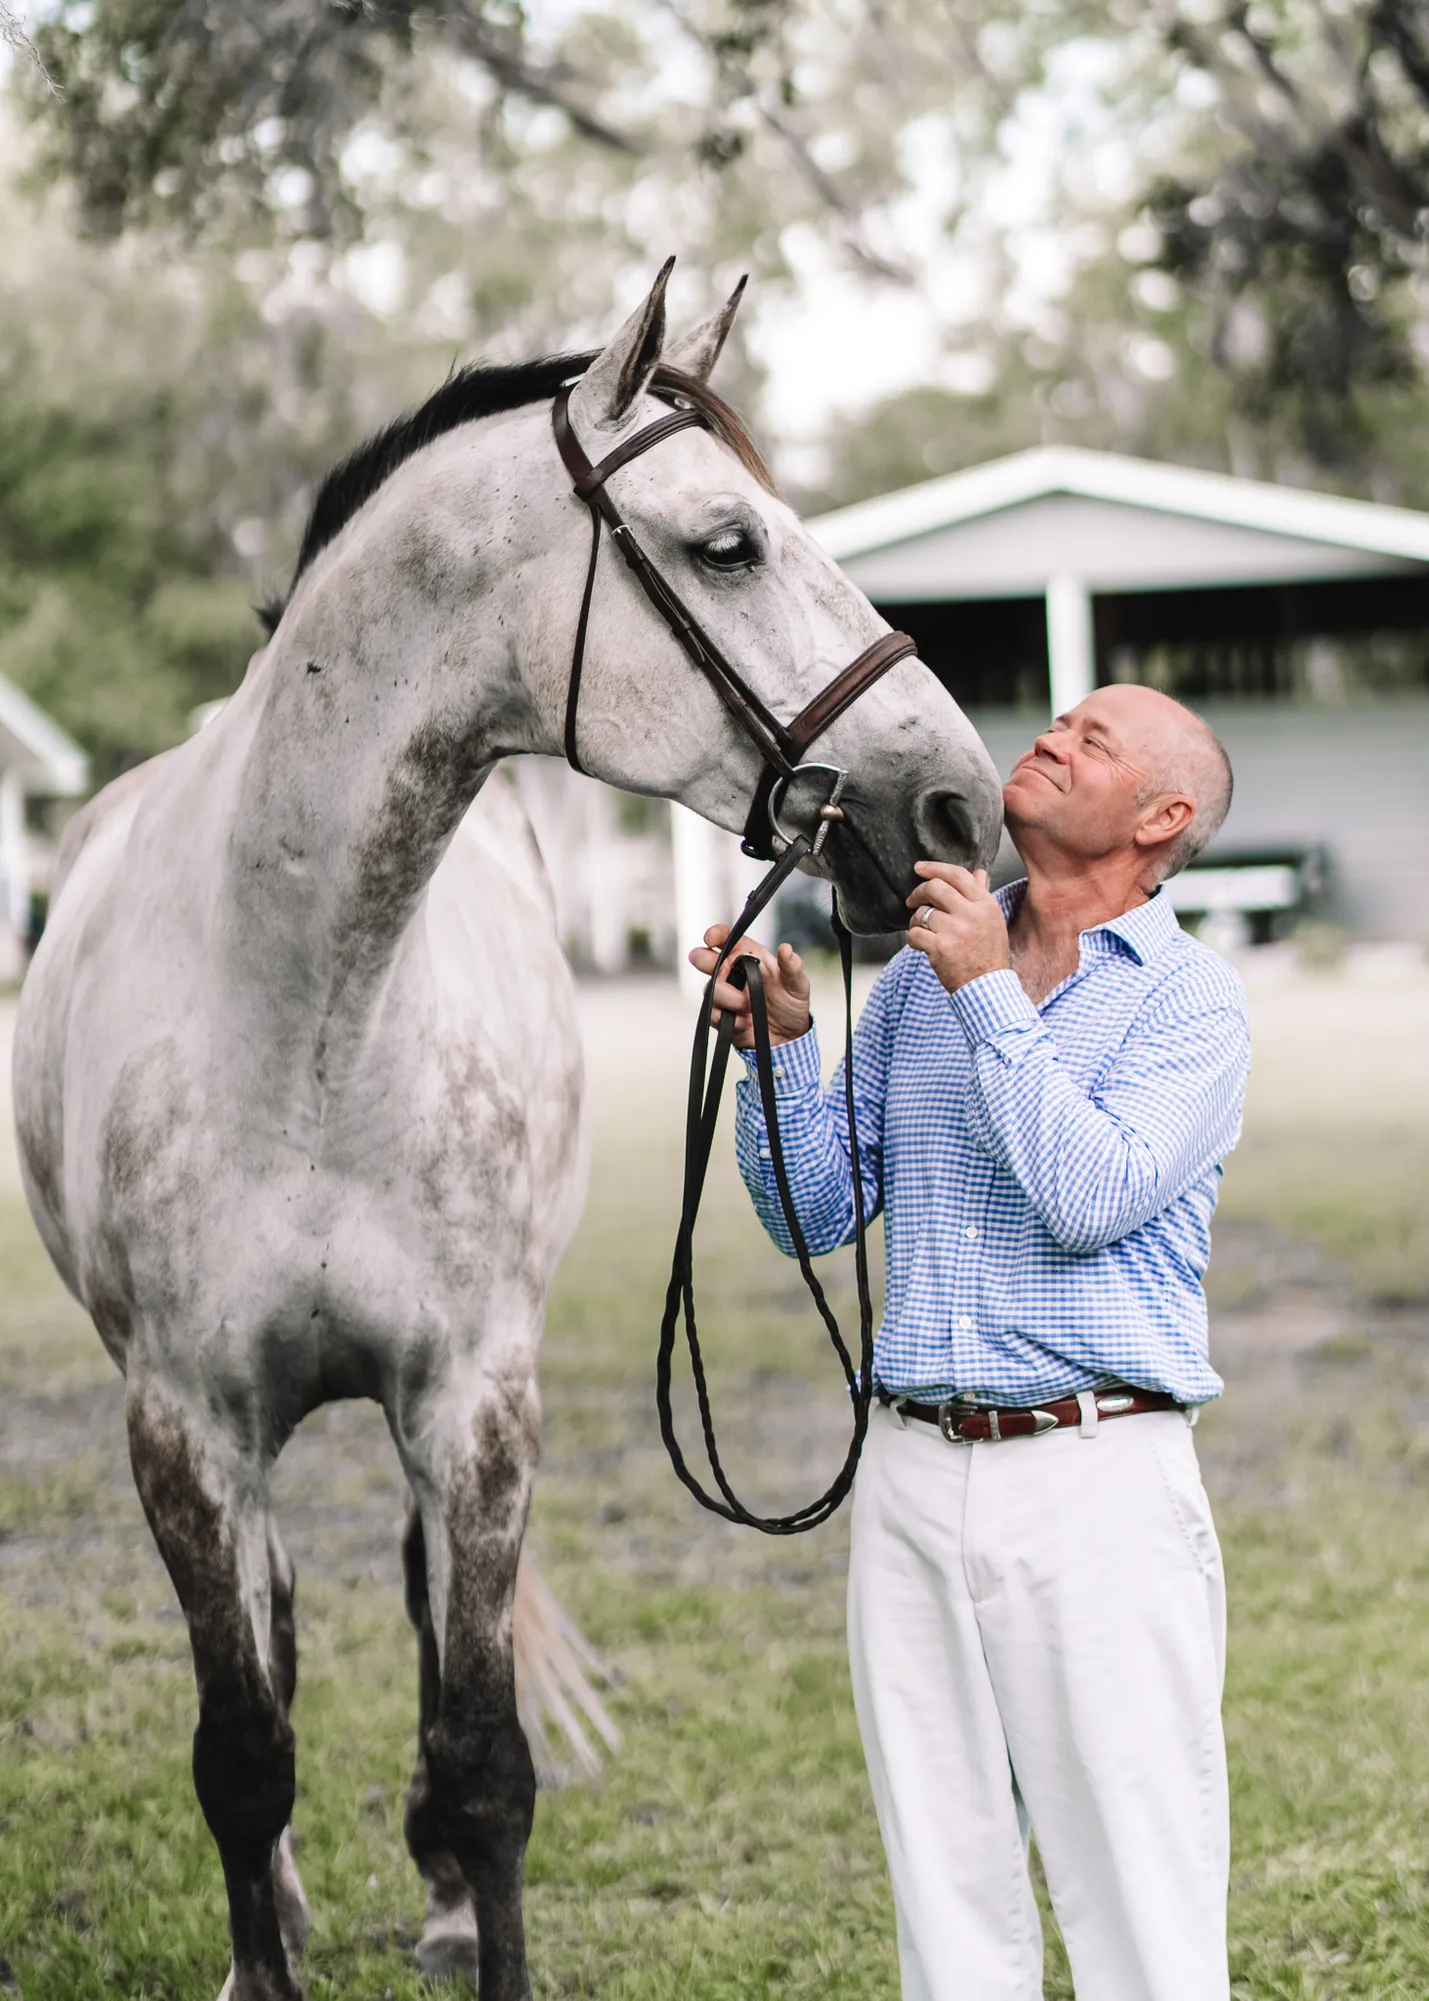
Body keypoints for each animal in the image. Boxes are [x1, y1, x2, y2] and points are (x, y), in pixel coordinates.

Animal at [10, 262, 1002, 2001]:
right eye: (727, 543)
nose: (960, 805)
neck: (310, 1015)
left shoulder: (471, 1403)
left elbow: (483, 1760)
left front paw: (472, 1904)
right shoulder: (184, 1430)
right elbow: (240, 1749)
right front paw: (260, 1940)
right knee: (274, 1631)